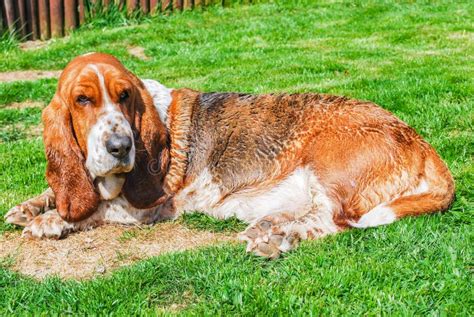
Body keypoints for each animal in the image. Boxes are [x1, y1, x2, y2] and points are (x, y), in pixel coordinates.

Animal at [4, 53, 456, 258]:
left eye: (124, 96)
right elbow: (62, 190)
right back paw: (269, 229)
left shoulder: (147, 208)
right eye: (82, 100)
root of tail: (419, 140)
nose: (120, 147)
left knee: (334, 221)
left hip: (328, 167)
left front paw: (50, 221)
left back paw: (277, 238)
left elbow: (100, 207)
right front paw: (30, 208)